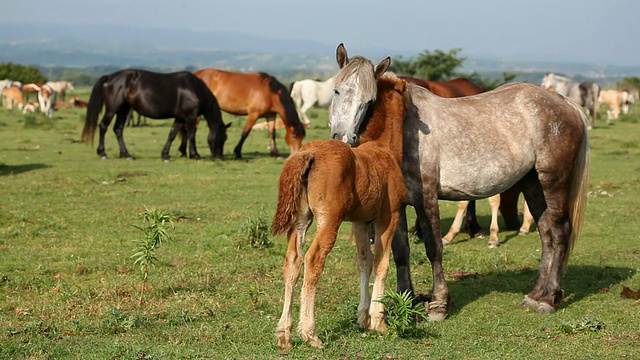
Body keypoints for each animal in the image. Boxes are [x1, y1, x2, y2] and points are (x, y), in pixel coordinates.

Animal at [81, 68, 228, 160]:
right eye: (224, 137)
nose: (219, 157)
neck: (195, 89)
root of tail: (109, 77)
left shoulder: (180, 118)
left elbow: (172, 134)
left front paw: (165, 155)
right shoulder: (190, 117)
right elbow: (191, 134)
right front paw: (195, 155)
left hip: (123, 109)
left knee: (118, 129)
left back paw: (126, 154)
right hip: (112, 109)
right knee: (103, 126)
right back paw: (103, 153)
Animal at [272, 67, 408, 352]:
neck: (384, 149)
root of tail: (308, 153)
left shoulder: (360, 222)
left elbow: (364, 261)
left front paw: (363, 318)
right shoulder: (388, 218)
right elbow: (382, 263)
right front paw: (378, 321)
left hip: (301, 220)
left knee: (293, 262)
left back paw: (284, 334)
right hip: (329, 220)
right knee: (313, 261)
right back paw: (309, 333)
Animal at [330, 43, 592, 320]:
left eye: (369, 101)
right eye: (337, 90)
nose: (344, 138)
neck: (403, 127)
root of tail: (566, 103)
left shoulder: (426, 197)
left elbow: (433, 247)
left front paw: (439, 304)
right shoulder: (397, 203)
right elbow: (401, 252)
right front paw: (408, 301)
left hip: (553, 181)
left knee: (561, 231)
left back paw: (550, 298)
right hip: (533, 185)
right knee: (547, 235)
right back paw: (536, 295)